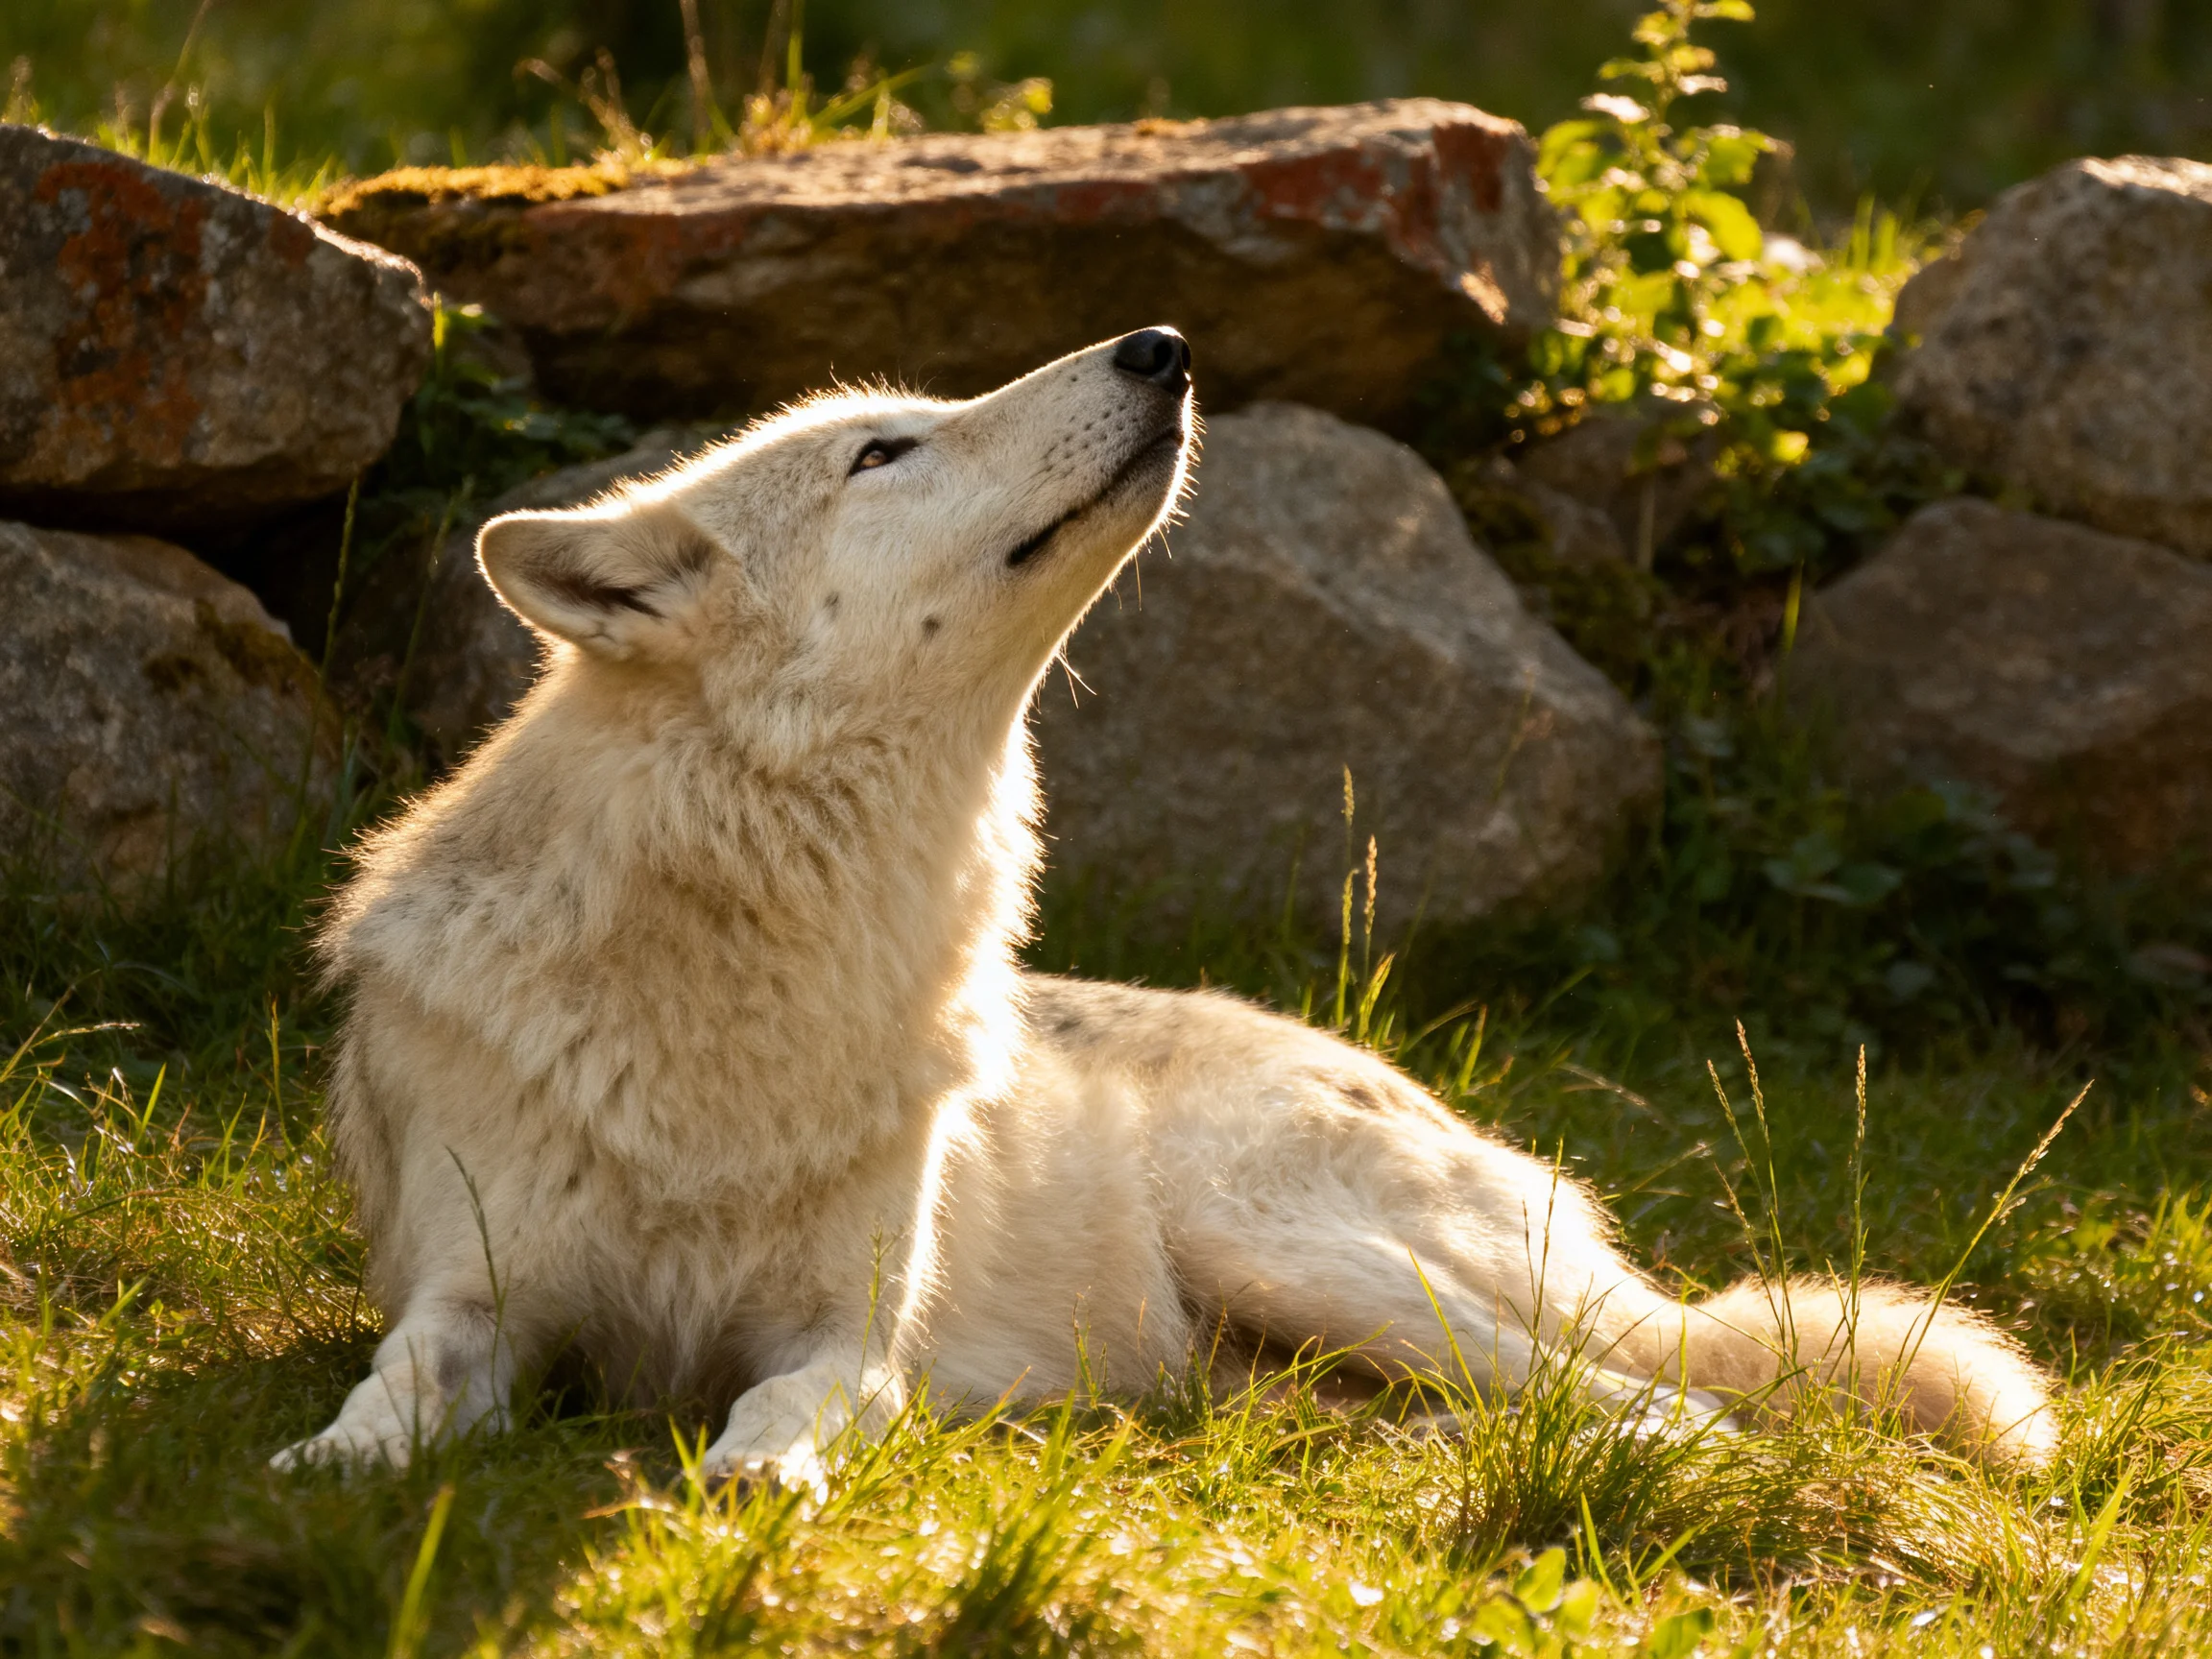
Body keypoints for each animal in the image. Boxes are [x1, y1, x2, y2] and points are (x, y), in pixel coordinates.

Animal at [277, 329, 2057, 1482]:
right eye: (882, 449)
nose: (1161, 345)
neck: (743, 961)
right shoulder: (472, 1295)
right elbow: (397, 1382)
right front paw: (326, 1466)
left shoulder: (847, 1337)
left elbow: (788, 1409)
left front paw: (757, 1482)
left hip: (1292, 1249)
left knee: (1661, 1402)